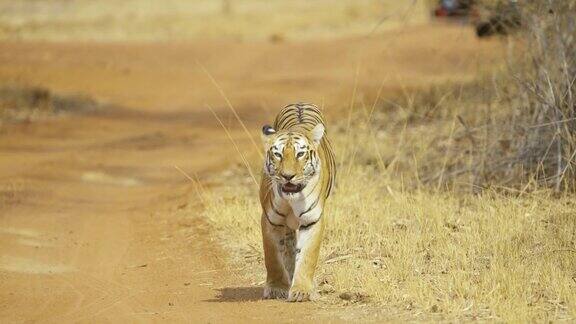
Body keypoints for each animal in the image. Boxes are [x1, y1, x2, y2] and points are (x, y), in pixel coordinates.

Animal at [258, 102, 336, 302]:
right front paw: (277, 288)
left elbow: (308, 256)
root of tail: (300, 102)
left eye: (300, 154)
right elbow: (273, 257)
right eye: (277, 154)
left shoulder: (312, 220)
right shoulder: (270, 220)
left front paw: (302, 291)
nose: (288, 176)